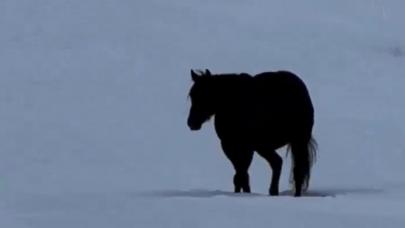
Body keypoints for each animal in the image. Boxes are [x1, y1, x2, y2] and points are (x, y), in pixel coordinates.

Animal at [186, 68, 316, 196]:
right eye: (192, 95)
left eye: (205, 95)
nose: (191, 123)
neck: (232, 104)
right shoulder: (230, 146)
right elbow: (240, 175)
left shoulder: (246, 148)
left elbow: (241, 174)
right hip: (265, 146)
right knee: (277, 163)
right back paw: (273, 191)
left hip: (296, 141)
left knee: (297, 170)